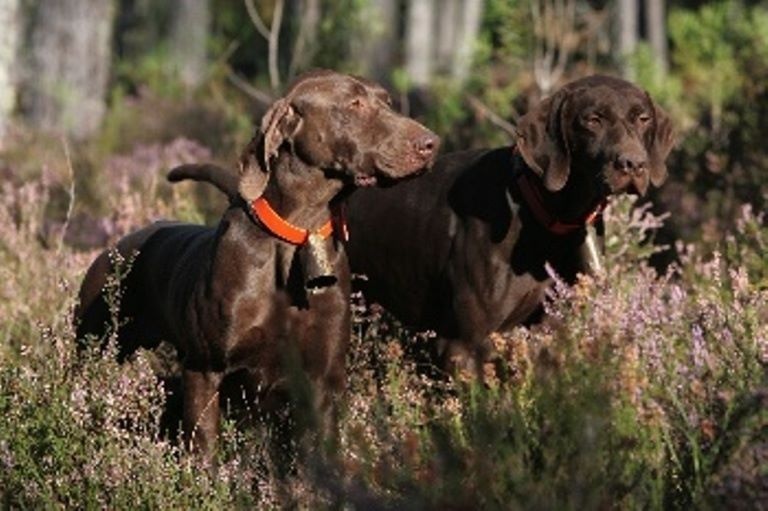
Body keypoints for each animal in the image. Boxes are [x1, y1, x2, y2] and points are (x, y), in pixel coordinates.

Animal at [75, 70, 439, 455]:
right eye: (354, 104)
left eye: (387, 102)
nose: (432, 144)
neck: (297, 236)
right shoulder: (205, 369)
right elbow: (204, 450)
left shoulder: (323, 383)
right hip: (94, 346)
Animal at [343, 75, 675, 375]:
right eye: (593, 120)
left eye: (643, 118)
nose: (633, 164)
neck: (544, 218)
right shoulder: (463, 345)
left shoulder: (548, 334)